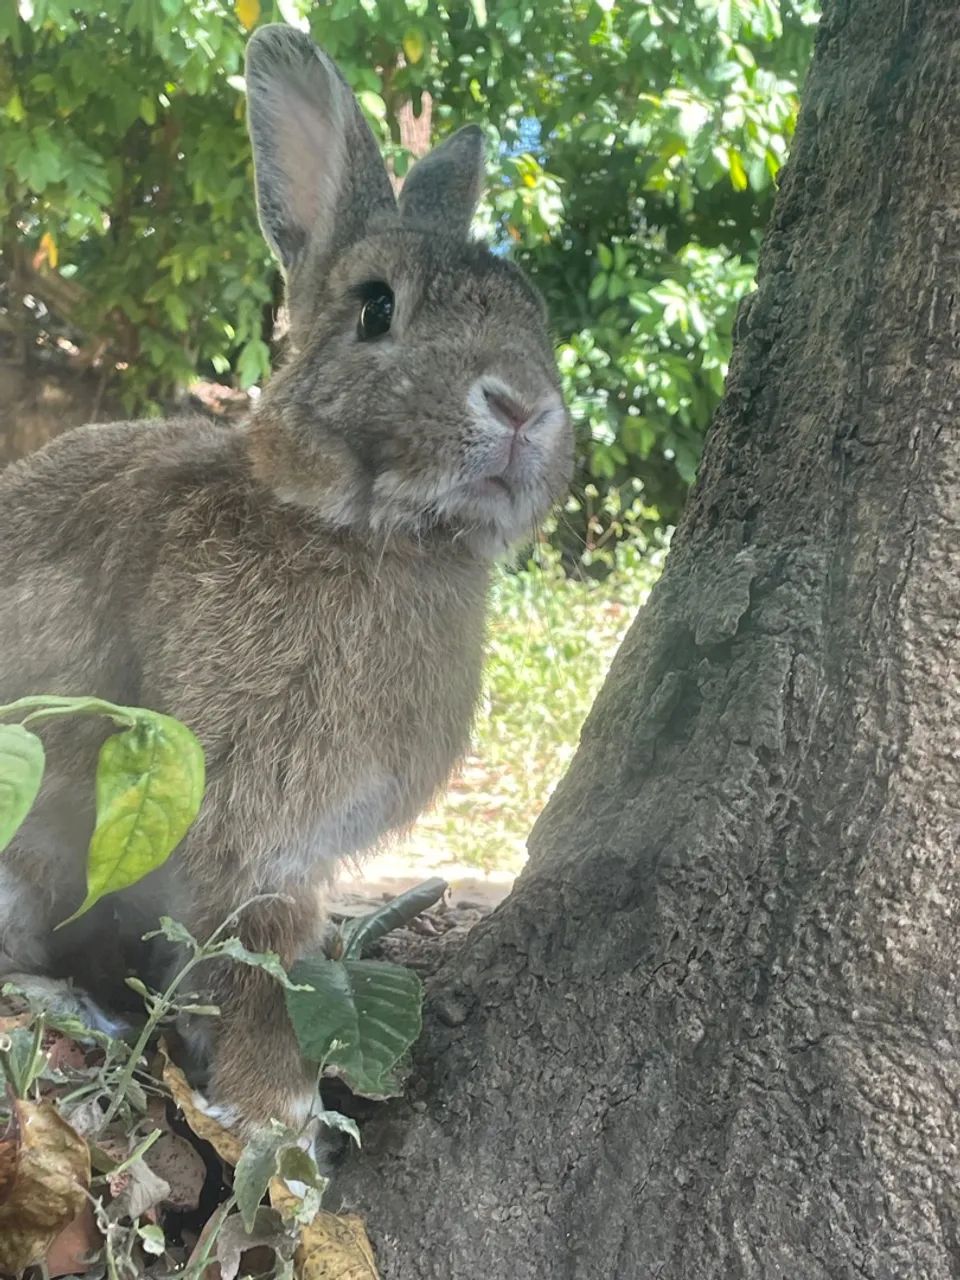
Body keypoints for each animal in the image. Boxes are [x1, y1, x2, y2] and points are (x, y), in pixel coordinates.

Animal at [0, 24, 573, 1134]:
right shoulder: (242, 822)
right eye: (377, 308)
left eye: (534, 312)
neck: (367, 533)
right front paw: (274, 1112)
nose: (523, 407)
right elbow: (258, 953)